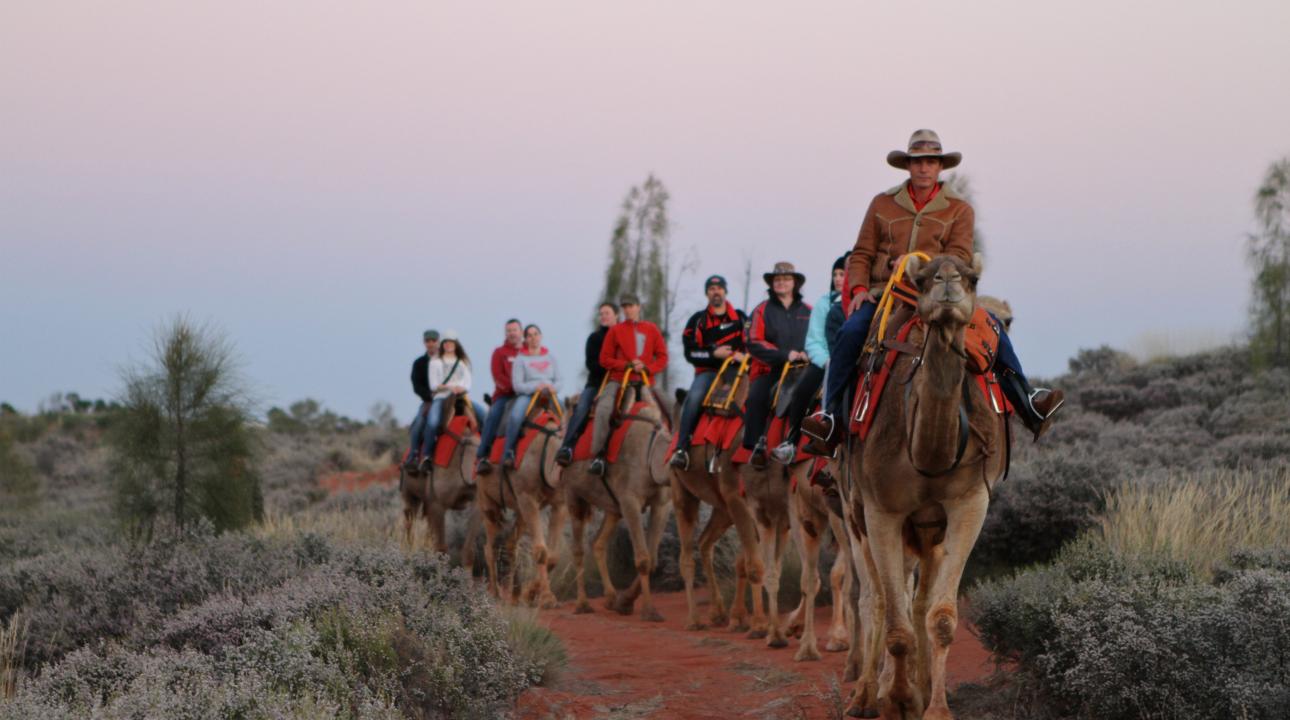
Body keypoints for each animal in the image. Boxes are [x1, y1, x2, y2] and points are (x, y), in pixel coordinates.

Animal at [474, 394, 565, 609]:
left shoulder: (558, 502)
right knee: (490, 546)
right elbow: (541, 551)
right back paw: (495, 593)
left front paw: (532, 593)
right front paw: (545, 597)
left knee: (510, 544)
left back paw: (514, 596)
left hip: (519, 508)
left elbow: (554, 555)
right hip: (487, 500)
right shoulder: (527, 498)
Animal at [559, 387, 670, 624]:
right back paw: (582, 605)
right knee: (578, 549)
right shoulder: (630, 500)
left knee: (598, 543)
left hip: (612, 507)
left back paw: (610, 598)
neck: (651, 452)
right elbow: (643, 559)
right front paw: (648, 611)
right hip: (573, 494)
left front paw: (623, 602)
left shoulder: (662, 503)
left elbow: (653, 559)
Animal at [841, 251, 1011, 717]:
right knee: (875, 599)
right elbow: (894, 623)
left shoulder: (969, 503)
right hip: (853, 514)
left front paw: (932, 705)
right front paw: (896, 698)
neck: (928, 456)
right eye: (921, 279)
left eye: (972, 278)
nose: (948, 280)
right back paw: (865, 695)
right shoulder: (882, 511)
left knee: (916, 602)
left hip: (927, 532)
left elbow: (941, 618)